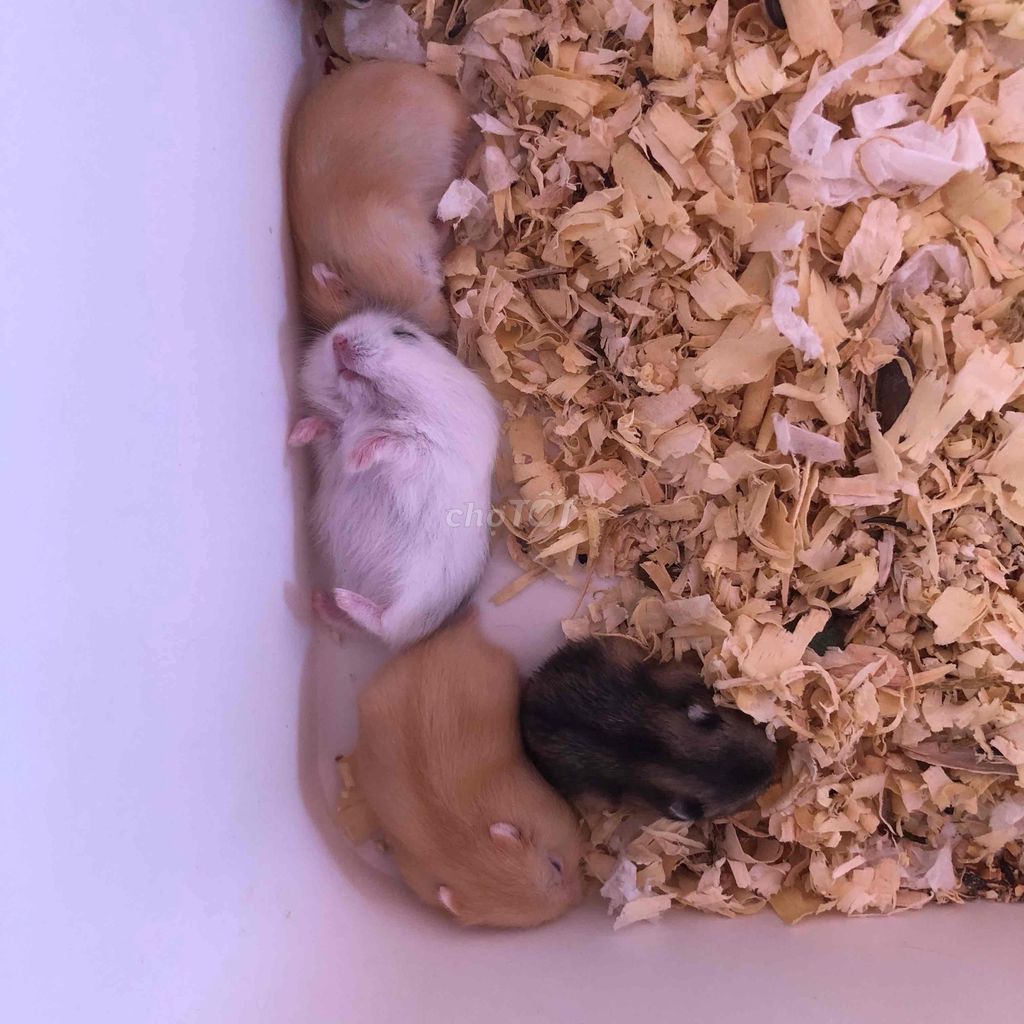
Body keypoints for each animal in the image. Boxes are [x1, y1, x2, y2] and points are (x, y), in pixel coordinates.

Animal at [289, 309, 499, 648]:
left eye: (404, 335)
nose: (338, 339)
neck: (368, 408)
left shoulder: (429, 453)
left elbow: (394, 443)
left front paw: (358, 457)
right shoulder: (331, 449)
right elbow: (327, 431)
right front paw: (297, 434)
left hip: (418, 589)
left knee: (386, 625)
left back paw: (344, 599)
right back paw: (323, 602)